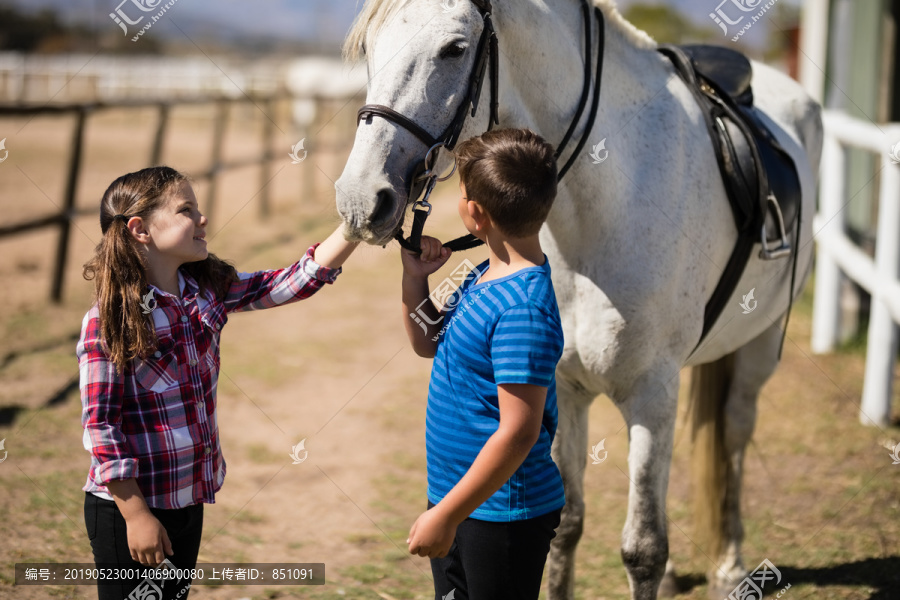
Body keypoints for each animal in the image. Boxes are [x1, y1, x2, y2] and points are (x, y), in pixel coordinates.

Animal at [332, 2, 824, 596]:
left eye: (454, 48)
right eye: (369, 49)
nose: (359, 201)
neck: (608, 203)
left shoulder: (651, 395)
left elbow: (644, 550)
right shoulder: (563, 388)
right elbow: (564, 524)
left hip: (759, 343)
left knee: (733, 432)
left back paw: (730, 565)